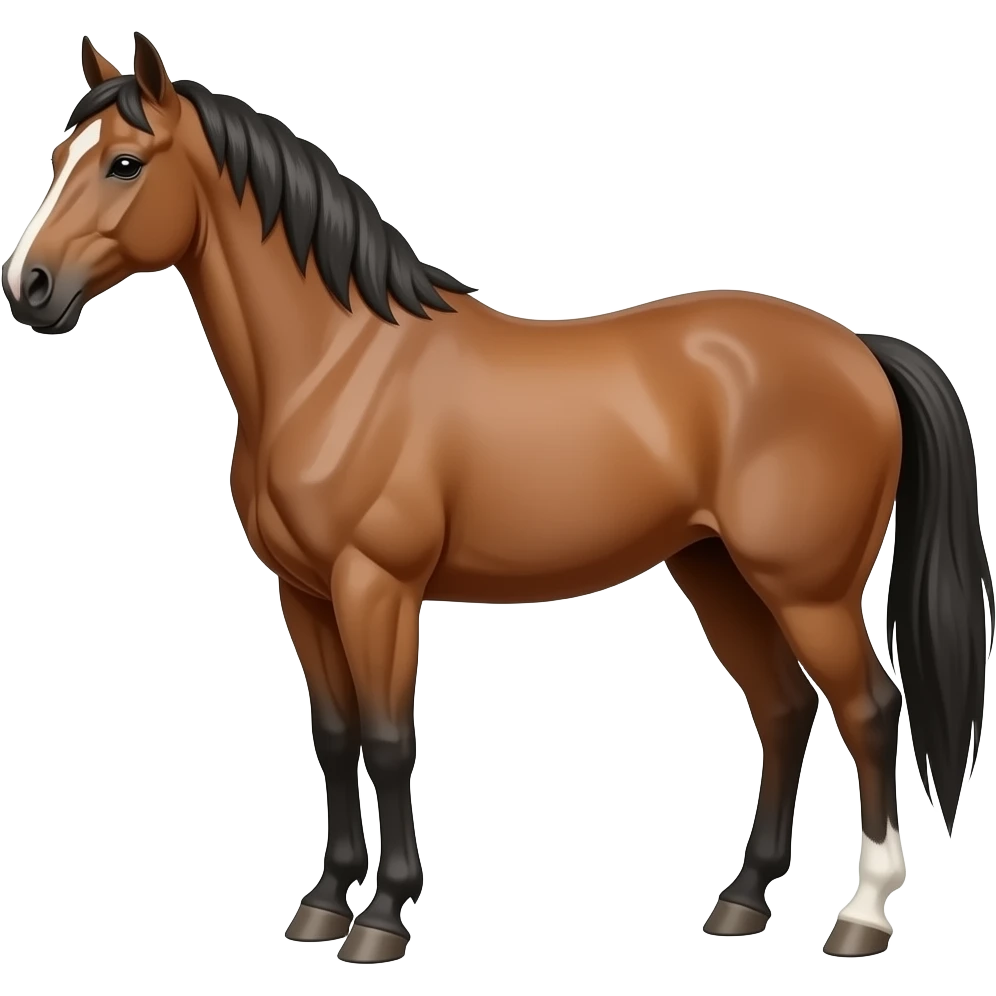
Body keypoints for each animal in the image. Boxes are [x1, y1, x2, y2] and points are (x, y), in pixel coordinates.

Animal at [4, 32, 991, 963]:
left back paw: (860, 915)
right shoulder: (305, 592)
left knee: (870, 711)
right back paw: (743, 901)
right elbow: (333, 737)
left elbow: (388, 739)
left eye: (124, 162)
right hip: (716, 571)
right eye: (57, 155)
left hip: (807, 588)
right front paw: (322, 906)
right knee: (784, 709)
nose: (29, 287)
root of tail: (858, 348)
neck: (336, 364)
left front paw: (382, 920)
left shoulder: (377, 586)